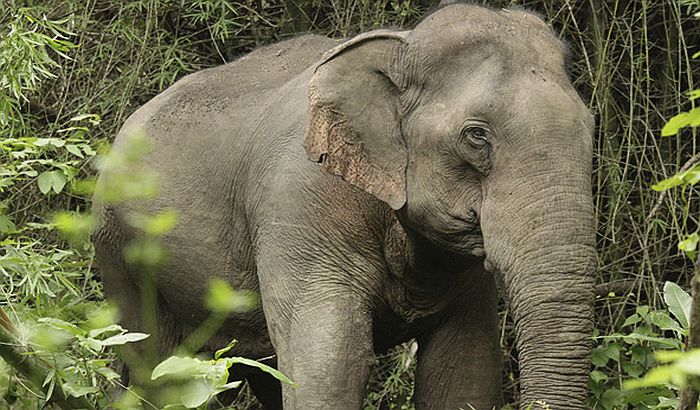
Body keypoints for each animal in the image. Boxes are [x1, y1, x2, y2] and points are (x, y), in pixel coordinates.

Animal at [93, 1, 596, 408]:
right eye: (476, 135)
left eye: (591, 126)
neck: (400, 43)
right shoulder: (299, 204)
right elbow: (330, 363)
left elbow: (464, 372)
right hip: (120, 248)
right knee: (154, 368)